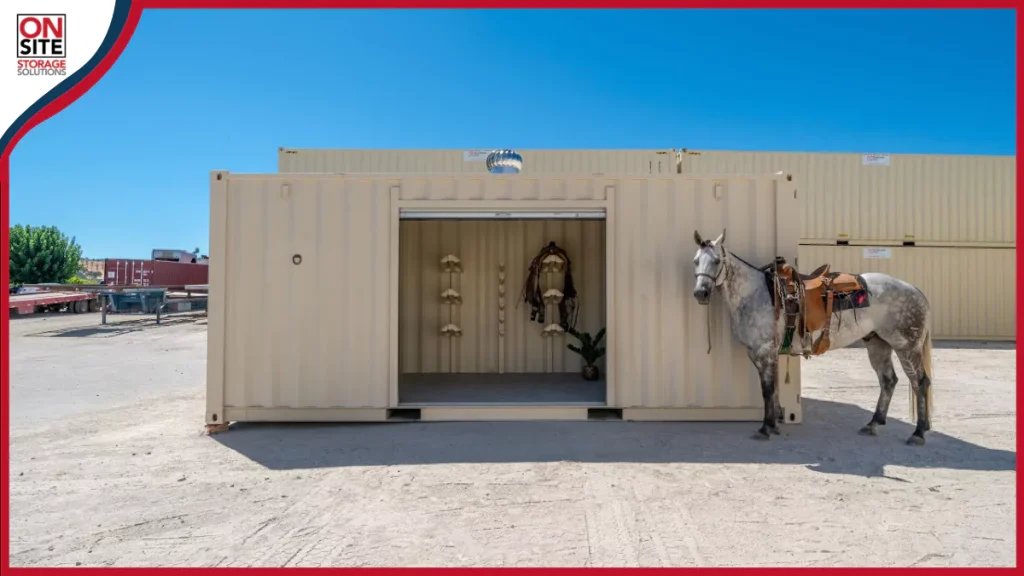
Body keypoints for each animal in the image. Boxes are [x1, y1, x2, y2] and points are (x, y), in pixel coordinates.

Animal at [692, 228, 933, 444]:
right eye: (696, 261)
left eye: (716, 261)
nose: (700, 293)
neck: (754, 294)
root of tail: (914, 290)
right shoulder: (763, 353)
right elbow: (773, 389)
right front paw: (774, 424)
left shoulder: (764, 351)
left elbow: (767, 390)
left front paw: (765, 428)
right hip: (878, 344)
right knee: (888, 381)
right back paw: (873, 424)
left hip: (906, 347)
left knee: (920, 382)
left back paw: (918, 433)